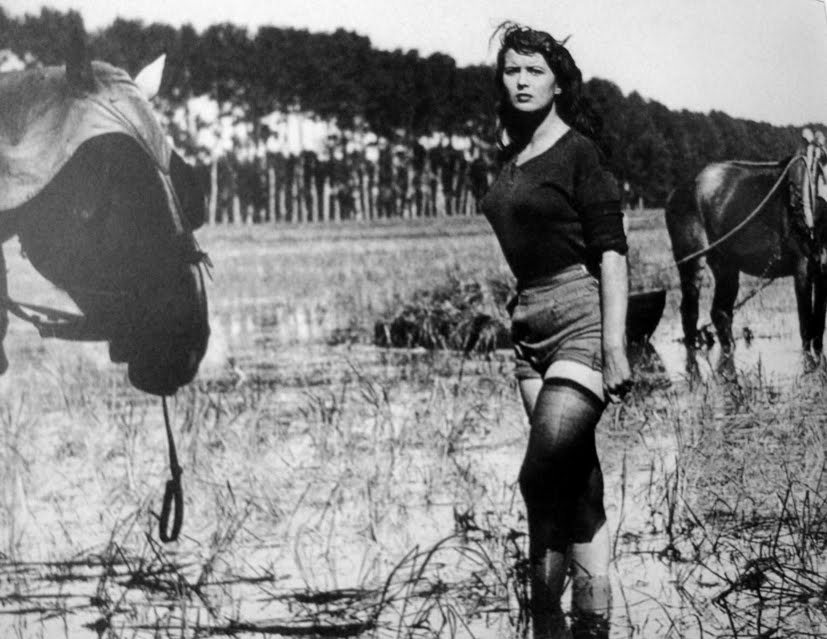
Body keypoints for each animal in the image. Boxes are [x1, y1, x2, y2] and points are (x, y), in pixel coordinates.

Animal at [665, 153, 827, 356]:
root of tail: (676, 191)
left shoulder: (822, 271)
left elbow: (819, 328)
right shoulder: (802, 267)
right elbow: (806, 325)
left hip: (726, 267)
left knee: (720, 312)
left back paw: (729, 350)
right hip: (691, 259)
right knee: (689, 311)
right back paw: (693, 353)